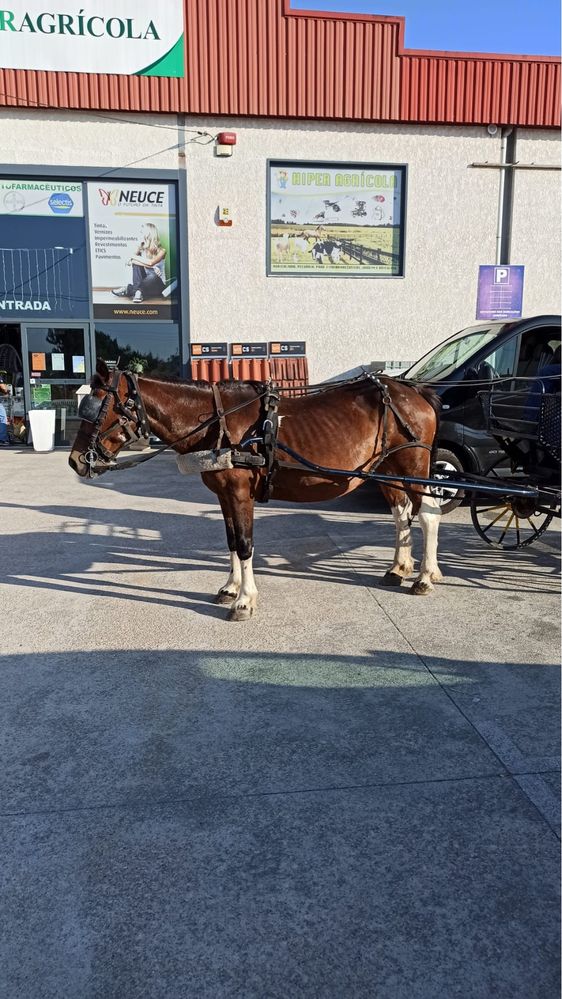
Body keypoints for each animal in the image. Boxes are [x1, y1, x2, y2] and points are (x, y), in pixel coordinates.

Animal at [68, 364, 440, 620]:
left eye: (99, 409)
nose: (75, 460)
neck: (217, 423)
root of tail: (413, 390)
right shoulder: (223, 494)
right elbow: (232, 540)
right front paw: (229, 588)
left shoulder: (239, 492)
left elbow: (246, 544)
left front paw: (245, 601)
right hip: (387, 471)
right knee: (401, 514)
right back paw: (398, 569)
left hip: (414, 465)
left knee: (428, 514)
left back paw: (425, 577)